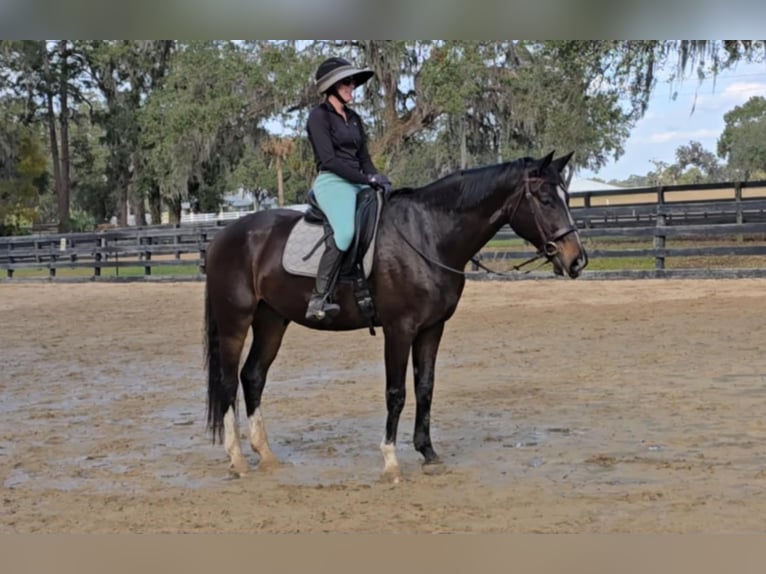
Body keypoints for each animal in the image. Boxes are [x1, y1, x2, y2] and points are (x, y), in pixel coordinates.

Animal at [203, 150, 588, 483]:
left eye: (566, 197)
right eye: (545, 199)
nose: (577, 260)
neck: (428, 235)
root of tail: (224, 235)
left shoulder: (432, 328)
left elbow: (425, 386)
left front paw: (428, 453)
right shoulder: (399, 329)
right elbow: (396, 392)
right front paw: (390, 461)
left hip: (272, 321)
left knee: (253, 377)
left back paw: (265, 455)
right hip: (235, 321)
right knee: (228, 381)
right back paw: (237, 458)